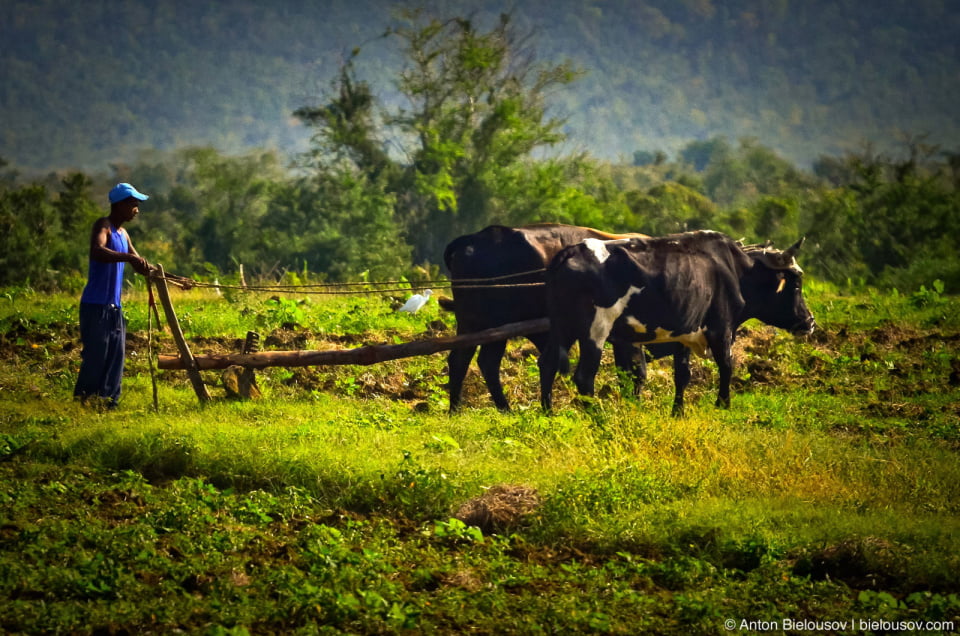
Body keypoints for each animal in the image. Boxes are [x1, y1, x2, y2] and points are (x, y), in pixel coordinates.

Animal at [536, 231, 812, 414]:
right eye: (797, 283)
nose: (809, 321)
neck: (735, 270)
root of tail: (573, 250)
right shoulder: (721, 329)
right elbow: (727, 366)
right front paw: (723, 405)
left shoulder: (684, 333)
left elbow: (683, 375)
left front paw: (678, 412)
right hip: (595, 330)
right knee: (584, 377)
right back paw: (596, 418)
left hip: (562, 327)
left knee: (548, 364)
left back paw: (548, 413)